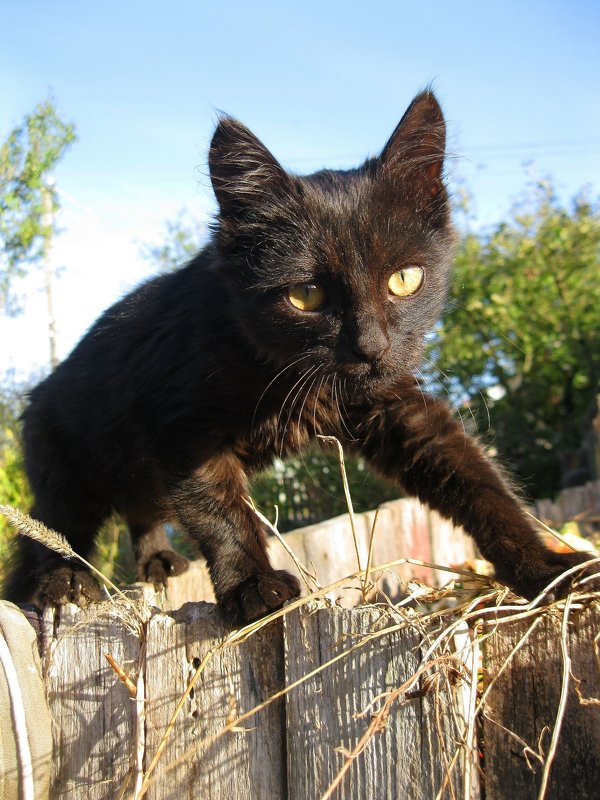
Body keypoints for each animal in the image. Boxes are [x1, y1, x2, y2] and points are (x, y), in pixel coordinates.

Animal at [2, 90, 592, 620]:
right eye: (305, 295)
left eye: (405, 280)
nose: (372, 347)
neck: (274, 366)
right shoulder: (179, 424)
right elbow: (220, 511)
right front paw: (252, 587)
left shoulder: (396, 409)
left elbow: (477, 480)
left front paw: (546, 568)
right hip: (68, 471)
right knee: (51, 530)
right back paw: (59, 585)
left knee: (143, 512)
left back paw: (157, 562)